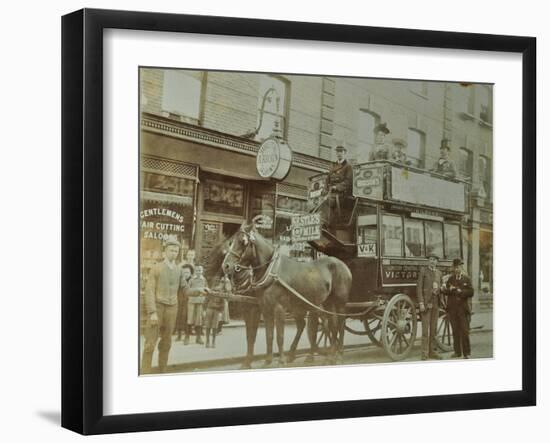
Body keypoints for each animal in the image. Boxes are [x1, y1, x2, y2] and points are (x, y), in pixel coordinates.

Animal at [222, 218, 352, 368]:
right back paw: (329, 355)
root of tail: (343, 265)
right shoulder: (265, 308)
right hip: (324, 303)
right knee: (331, 325)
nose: (226, 266)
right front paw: (268, 361)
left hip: (339, 303)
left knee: (339, 324)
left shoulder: (278, 308)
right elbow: (269, 335)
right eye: (231, 241)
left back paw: (338, 354)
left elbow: (279, 336)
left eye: (243, 241)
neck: (272, 271)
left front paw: (281, 361)